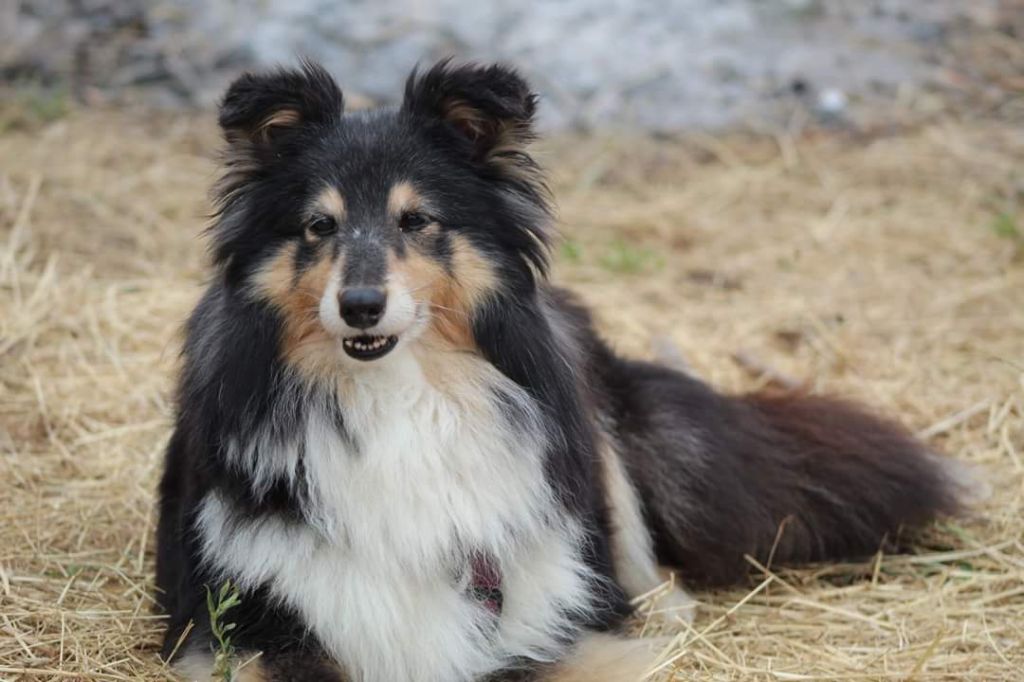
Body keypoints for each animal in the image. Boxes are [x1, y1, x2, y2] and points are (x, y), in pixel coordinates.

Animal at [155, 59, 970, 679]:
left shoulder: (556, 618)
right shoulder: (236, 630)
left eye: (417, 221)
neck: (396, 398)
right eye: (318, 226)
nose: (359, 307)